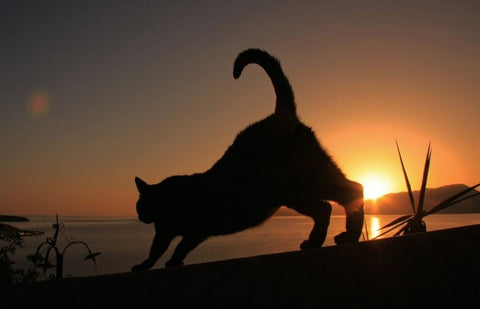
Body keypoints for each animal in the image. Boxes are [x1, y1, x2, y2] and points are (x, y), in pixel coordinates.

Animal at [131, 48, 364, 270]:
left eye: (140, 206)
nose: (140, 217)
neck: (168, 197)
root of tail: (280, 115)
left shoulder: (195, 229)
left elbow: (178, 246)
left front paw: (168, 261)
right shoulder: (166, 232)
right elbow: (157, 250)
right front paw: (148, 264)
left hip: (297, 188)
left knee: (337, 200)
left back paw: (332, 239)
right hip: (308, 182)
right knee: (346, 193)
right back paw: (337, 239)